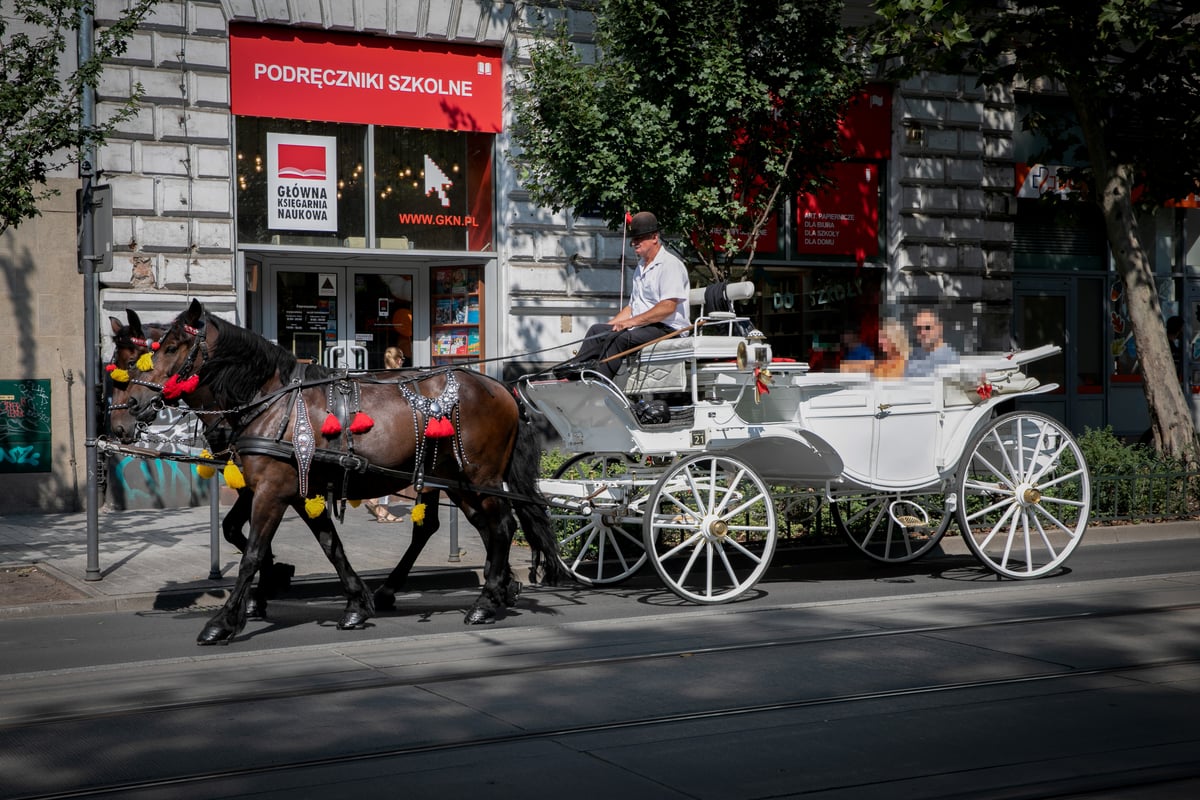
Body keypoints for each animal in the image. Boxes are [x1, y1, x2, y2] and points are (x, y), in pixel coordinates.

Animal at [110, 299, 559, 642]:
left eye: (171, 348)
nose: (125, 414)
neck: (269, 400)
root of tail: (501, 387)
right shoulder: (292, 489)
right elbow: (327, 544)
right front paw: (353, 602)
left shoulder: (272, 490)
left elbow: (252, 551)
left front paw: (226, 619)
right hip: (457, 480)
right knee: (478, 528)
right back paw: (493, 588)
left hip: (481, 477)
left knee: (501, 528)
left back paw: (485, 601)